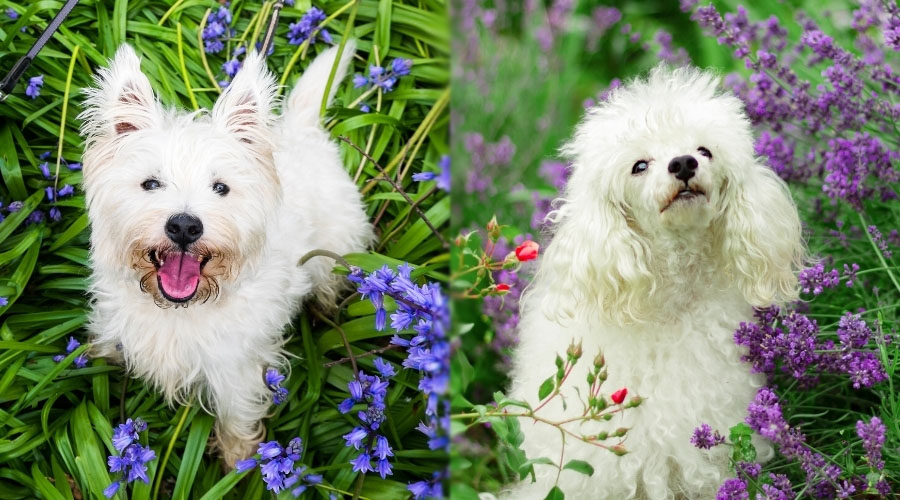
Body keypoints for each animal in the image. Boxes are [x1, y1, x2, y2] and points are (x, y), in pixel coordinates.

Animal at [78, 42, 372, 464]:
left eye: (221, 188)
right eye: (150, 183)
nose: (184, 226)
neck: (178, 311)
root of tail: (301, 129)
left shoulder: (236, 370)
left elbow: (237, 416)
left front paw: (239, 462)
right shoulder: (117, 326)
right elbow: (106, 349)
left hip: (332, 249)